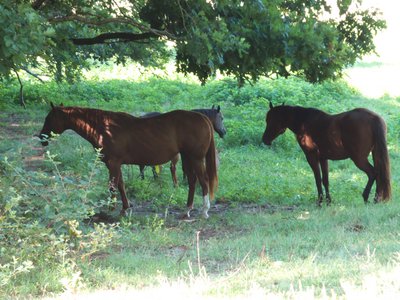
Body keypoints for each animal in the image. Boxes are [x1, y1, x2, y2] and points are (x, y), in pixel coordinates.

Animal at [38, 102, 217, 217]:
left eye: (49, 119)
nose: (42, 138)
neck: (104, 128)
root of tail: (202, 118)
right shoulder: (116, 164)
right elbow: (121, 185)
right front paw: (125, 207)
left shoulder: (113, 163)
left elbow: (112, 186)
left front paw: (110, 209)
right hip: (187, 157)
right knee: (193, 181)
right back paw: (187, 209)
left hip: (196, 158)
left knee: (204, 181)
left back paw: (204, 210)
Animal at [262, 102, 390, 204]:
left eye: (271, 120)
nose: (265, 140)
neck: (305, 123)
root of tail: (373, 117)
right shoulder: (323, 158)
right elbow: (325, 180)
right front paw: (328, 201)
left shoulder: (312, 157)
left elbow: (318, 179)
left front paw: (319, 202)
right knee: (379, 174)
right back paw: (376, 199)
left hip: (359, 159)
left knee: (373, 173)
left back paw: (367, 197)